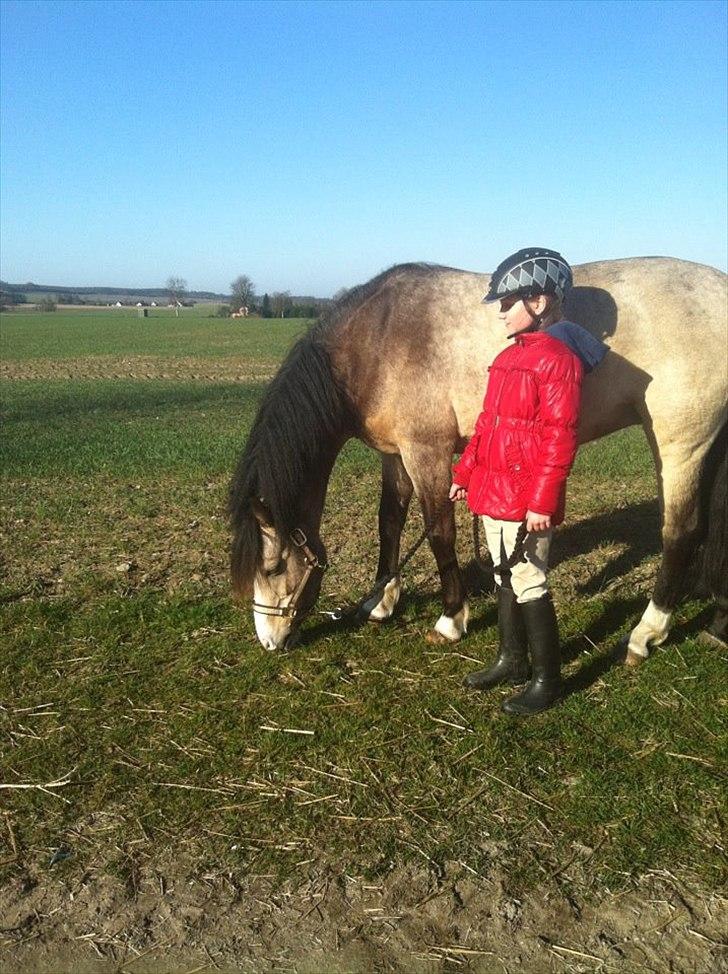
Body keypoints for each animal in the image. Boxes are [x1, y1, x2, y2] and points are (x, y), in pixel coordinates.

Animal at [229, 258, 728, 664]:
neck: (378, 340)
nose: (269, 640)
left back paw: (647, 632)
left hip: (680, 446)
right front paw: (382, 600)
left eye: (272, 568)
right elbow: (389, 521)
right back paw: (716, 621)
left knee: (681, 532)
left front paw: (451, 618)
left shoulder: (426, 452)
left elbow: (440, 534)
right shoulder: (395, 456)